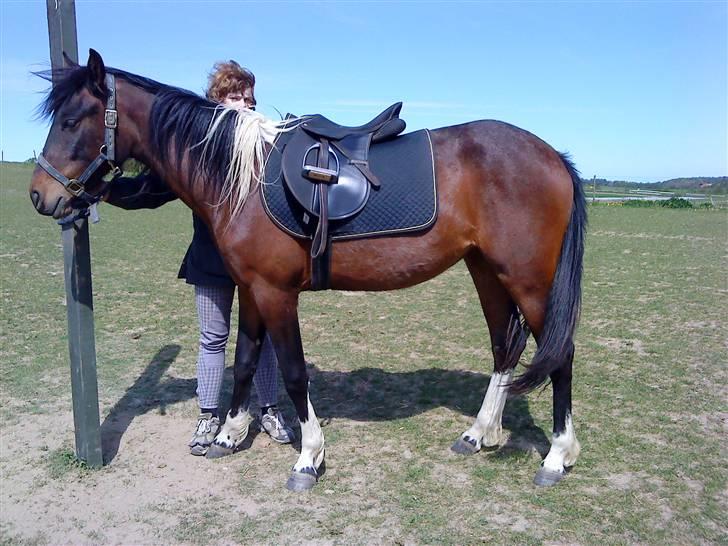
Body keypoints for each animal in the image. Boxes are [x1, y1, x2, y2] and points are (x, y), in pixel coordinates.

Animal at [29, 51, 584, 488]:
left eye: (73, 120)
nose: (40, 195)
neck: (242, 177)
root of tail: (552, 155)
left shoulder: (276, 293)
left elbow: (294, 373)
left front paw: (308, 457)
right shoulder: (251, 289)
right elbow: (246, 360)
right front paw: (229, 434)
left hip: (529, 280)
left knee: (559, 355)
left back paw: (557, 456)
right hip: (486, 270)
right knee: (504, 347)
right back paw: (479, 433)